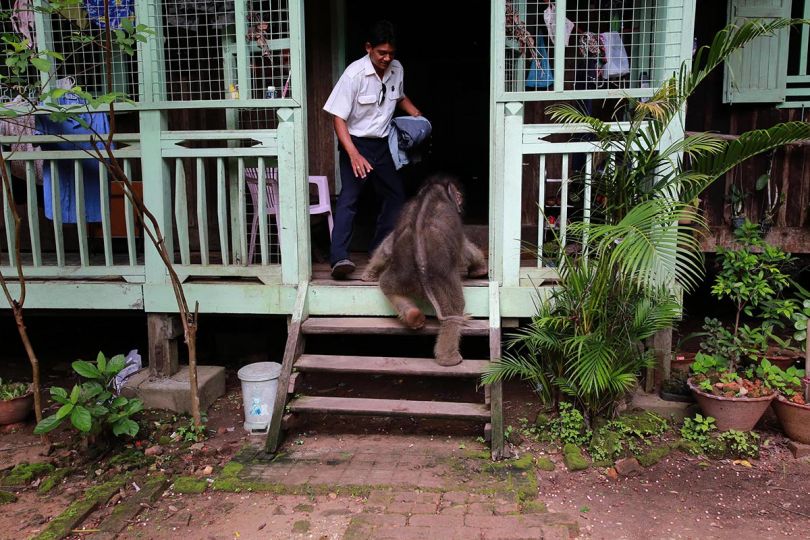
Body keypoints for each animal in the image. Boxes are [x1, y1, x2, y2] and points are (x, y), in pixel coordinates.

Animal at [362, 175, 486, 364]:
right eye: (458, 195)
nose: (461, 201)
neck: (432, 189)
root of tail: (420, 264)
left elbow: (388, 243)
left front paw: (367, 276)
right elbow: (464, 248)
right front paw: (481, 271)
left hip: (401, 273)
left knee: (386, 285)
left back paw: (414, 317)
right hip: (441, 278)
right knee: (454, 309)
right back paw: (450, 360)